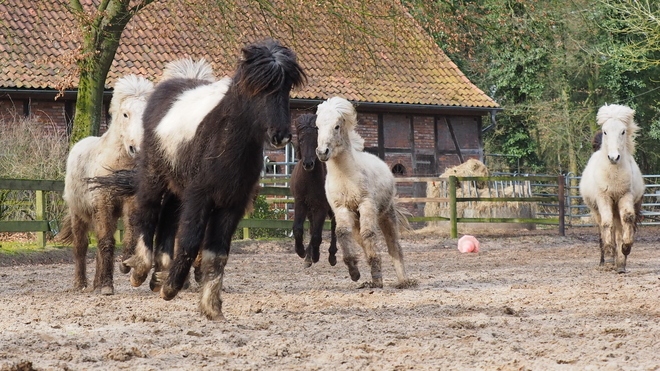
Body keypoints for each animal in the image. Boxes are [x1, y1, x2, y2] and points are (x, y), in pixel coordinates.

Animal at [57, 75, 153, 296]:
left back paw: (97, 283)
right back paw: (81, 284)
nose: (137, 148)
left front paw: (125, 265)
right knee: (81, 247)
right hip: (79, 215)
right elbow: (106, 242)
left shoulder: (130, 203)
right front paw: (108, 286)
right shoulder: (103, 203)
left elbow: (130, 237)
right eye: (125, 114)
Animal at [122, 39, 306, 322]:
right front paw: (171, 288)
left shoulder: (232, 204)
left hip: (178, 188)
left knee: (167, 219)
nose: (281, 136)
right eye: (257, 87)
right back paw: (142, 270)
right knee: (147, 211)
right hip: (154, 176)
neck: (223, 140)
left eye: (286, 87)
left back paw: (159, 274)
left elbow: (217, 254)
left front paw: (211, 306)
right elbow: (189, 241)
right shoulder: (200, 197)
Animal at [292, 113, 338, 268]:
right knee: (312, 228)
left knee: (334, 227)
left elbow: (317, 235)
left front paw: (316, 255)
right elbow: (298, 229)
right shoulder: (300, 203)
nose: (308, 164)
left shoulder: (321, 207)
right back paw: (308, 255)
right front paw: (302, 252)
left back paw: (331, 255)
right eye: (301, 139)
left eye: (316, 139)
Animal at [316, 97, 418, 290]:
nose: (322, 152)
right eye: (317, 126)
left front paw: (377, 277)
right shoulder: (341, 208)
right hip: (356, 219)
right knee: (360, 239)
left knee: (393, 245)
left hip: (386, 214)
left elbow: (369, 234)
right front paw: (354, 271)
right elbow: (342, 233)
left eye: (336, 126)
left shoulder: (366, 204)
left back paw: (403, 281)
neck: (346, 176)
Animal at [576, 104, 644, 274]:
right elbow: (607, 224)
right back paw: (605, 260)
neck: (613, 174)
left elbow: (627, 218)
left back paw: (619, 262)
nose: (614, 157)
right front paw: (608, 255)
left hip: (619, 206)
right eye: (605, 131)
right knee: (603, 227)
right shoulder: (603, 198)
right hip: (596, 210)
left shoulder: (625, 196)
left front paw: (625, 249)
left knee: (619, 229)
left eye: (623, 131)